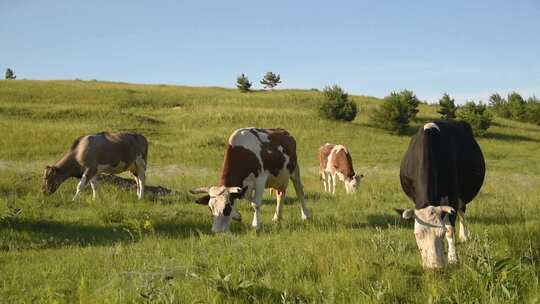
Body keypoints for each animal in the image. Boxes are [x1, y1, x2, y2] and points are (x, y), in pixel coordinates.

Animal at [394, 121, 488, 268]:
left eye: (441, 233)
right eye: (417, 235)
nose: (434, 267)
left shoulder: (453, 196)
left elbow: (450, 229)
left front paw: (453, 258)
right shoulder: (416, 198)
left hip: (463, 195)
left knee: (462, 212)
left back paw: (464, 236)